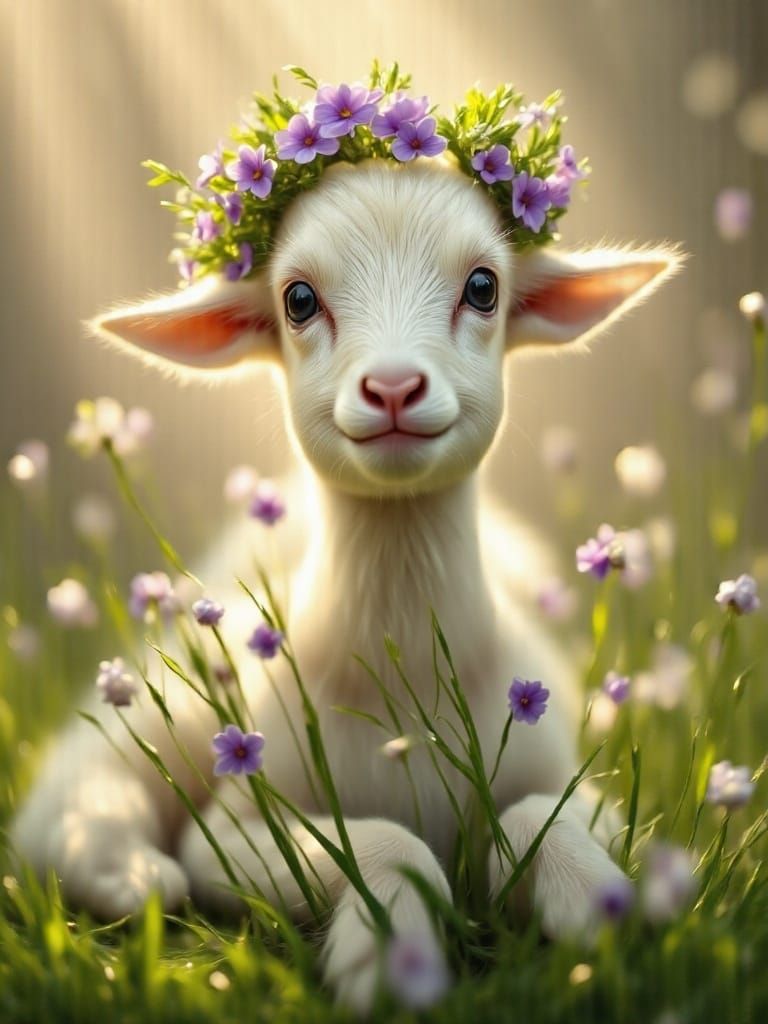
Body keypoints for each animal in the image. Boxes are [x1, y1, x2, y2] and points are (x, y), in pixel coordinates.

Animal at [12, 157, 678, 1011]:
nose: (392, 387)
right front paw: (391, 957)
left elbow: (537, 817)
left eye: (484, 287)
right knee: (82, 809)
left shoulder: (580, 781)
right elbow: (385, 843)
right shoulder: (234, 828)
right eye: (299, 300)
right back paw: (128, 873)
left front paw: (599, 908)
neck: (407, 680)